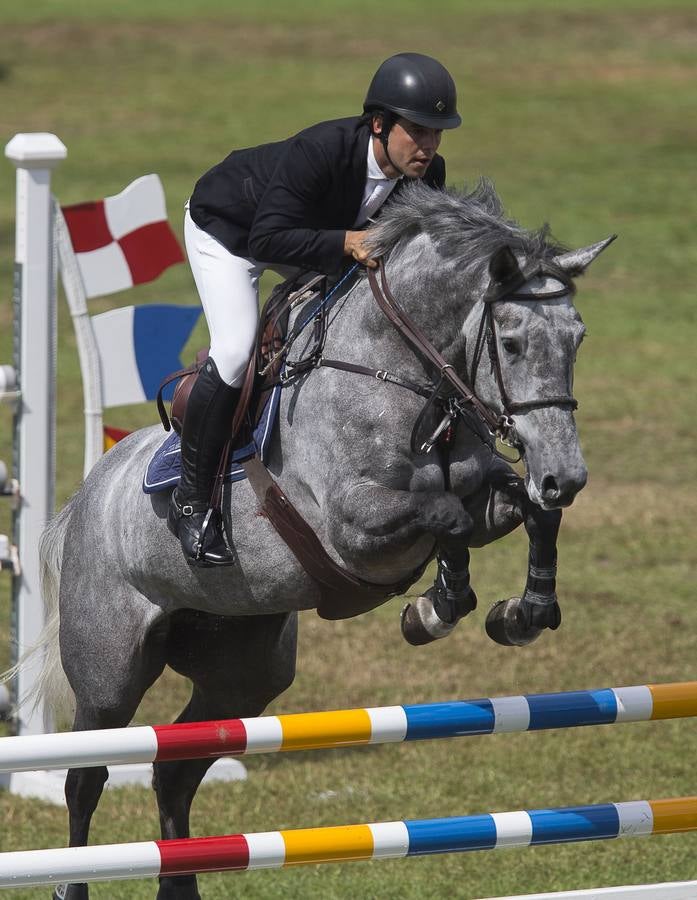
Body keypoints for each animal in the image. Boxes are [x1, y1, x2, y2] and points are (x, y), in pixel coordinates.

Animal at [32, 179, 608, 896]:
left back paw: (180, 883)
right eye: (510, 342)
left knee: (175, 768)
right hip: (110, 674)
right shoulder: (355, 526)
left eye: (577, 339)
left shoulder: (486, 494)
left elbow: (525, 513)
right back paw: (72, 882)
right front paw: (435, 608)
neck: (402, 374)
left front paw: (522, 612)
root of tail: (84, 499)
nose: (565, 476)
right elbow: (443, 515)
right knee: (86, 778)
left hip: (244, 673)